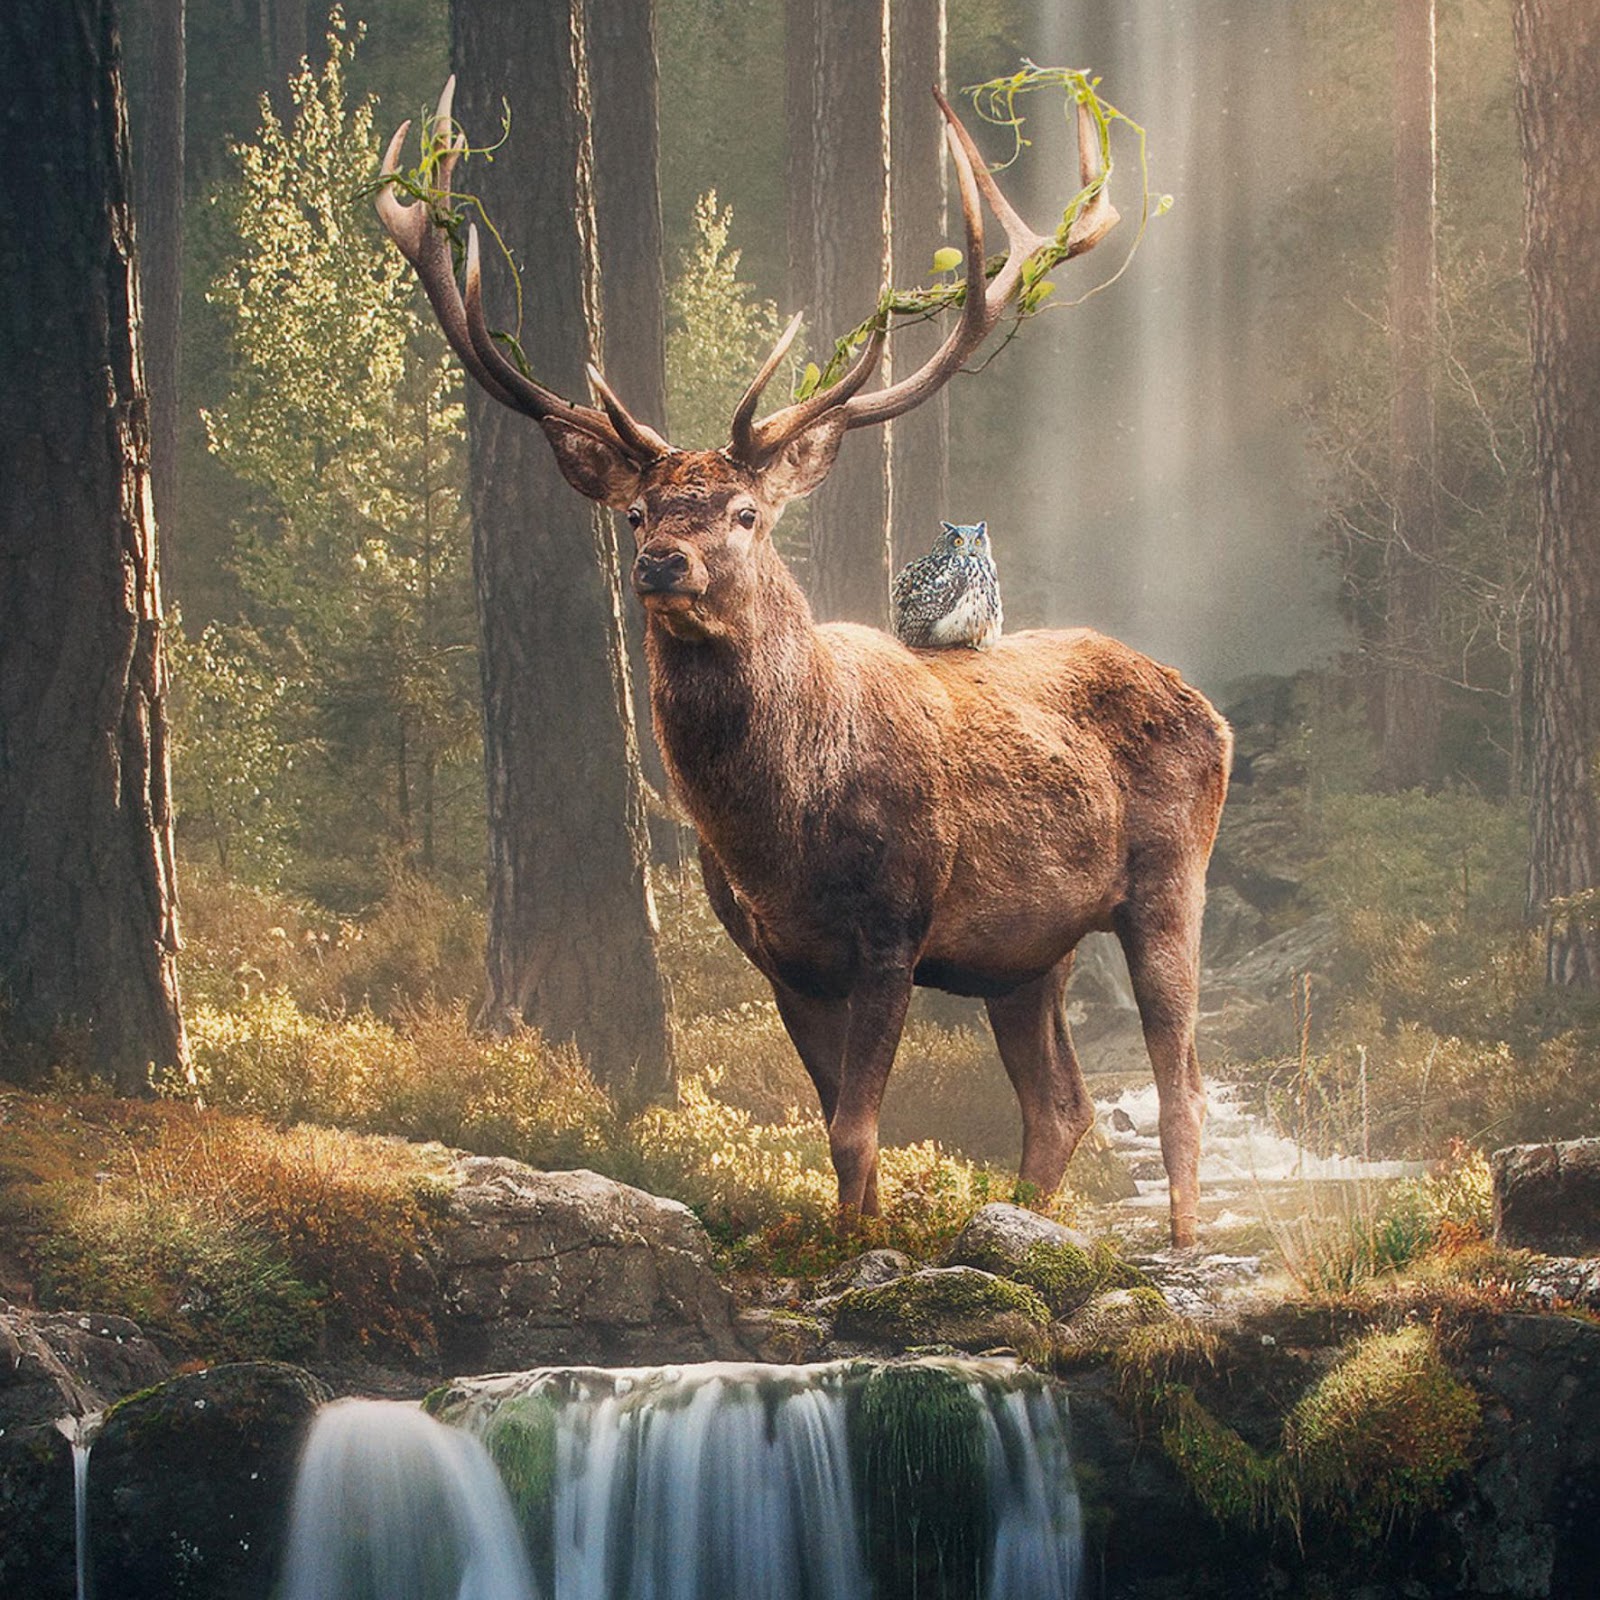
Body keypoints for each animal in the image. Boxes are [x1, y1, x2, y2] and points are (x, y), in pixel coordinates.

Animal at [378, 77, 1231, 1247]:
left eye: (745, 511)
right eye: (637, 509)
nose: (661, 562)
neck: (780, 831)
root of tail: (1212, 709)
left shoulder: (895, 923)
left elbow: (859, 1128)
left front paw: (864, 1247)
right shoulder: (777, 955)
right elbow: (833, 1131)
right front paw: (853, 1235)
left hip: (1169, 875)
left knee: (1179, 1080)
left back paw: (1183, 1242)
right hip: (1025, 951)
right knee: (1061, 1103)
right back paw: (1020, 1220)